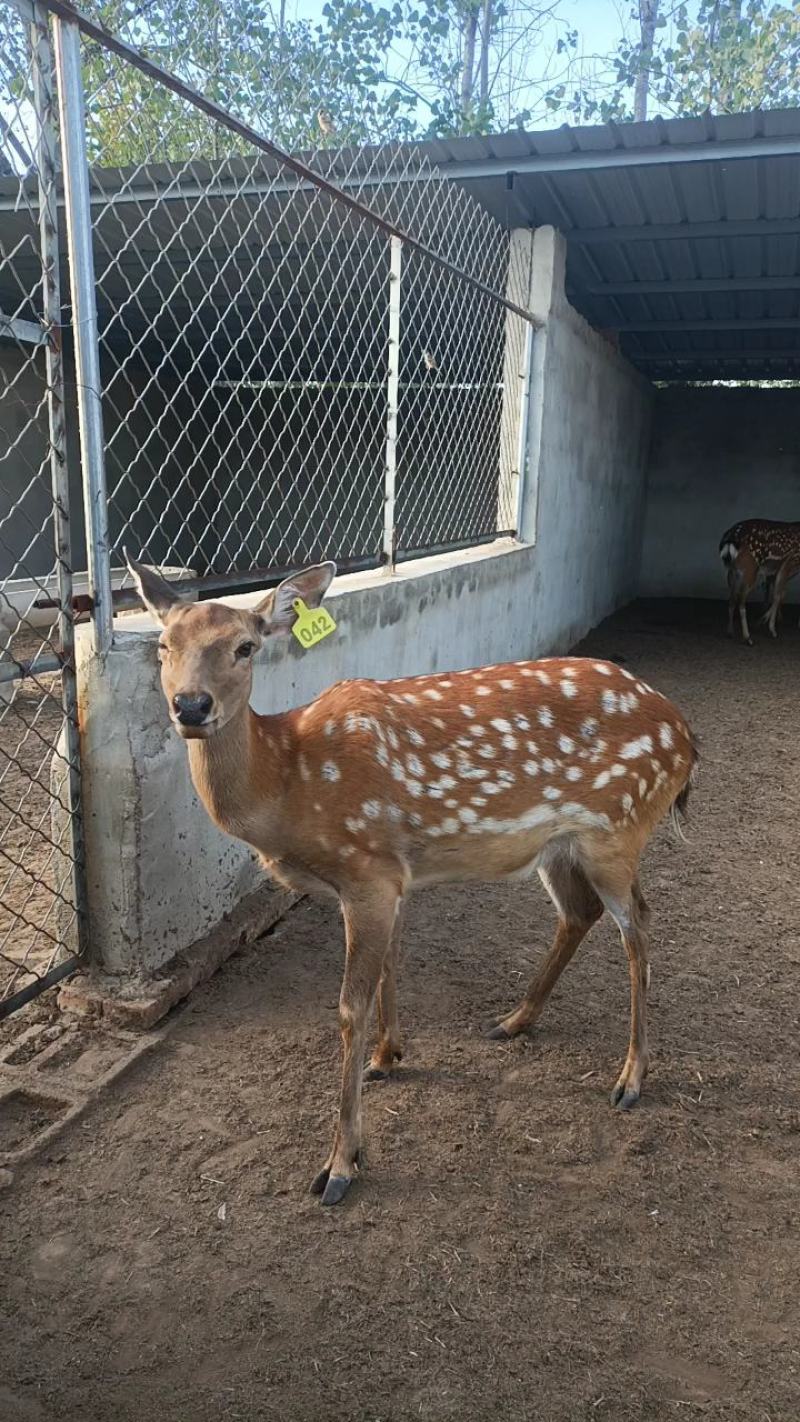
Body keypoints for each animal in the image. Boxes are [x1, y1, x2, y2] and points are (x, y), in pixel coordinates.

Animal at [127, 552, 699, 1207]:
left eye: (246, 646)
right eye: (163, 645)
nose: (192, 706)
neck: (288, 785)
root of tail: (687, 737)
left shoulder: (367, 870)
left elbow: (349, 1006)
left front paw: (341, 1163)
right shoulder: (393, 873)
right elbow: (390, 966)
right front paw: (388, 1056)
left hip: (618, 828)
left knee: (640, 927)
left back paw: (630, 1077)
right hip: (559, 845)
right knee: (581, 913)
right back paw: (513, 1021)